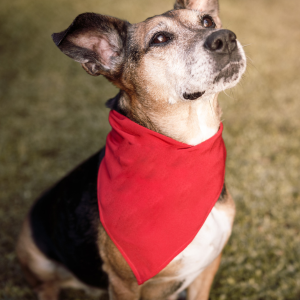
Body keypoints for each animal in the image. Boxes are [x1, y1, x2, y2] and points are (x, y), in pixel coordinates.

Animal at [17, 0, 246, 298]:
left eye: (207, 21)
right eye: (160, 39)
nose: (226, 38)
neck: (189, 148)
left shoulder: (208, 266)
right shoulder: (123, 284)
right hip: (33, 253)